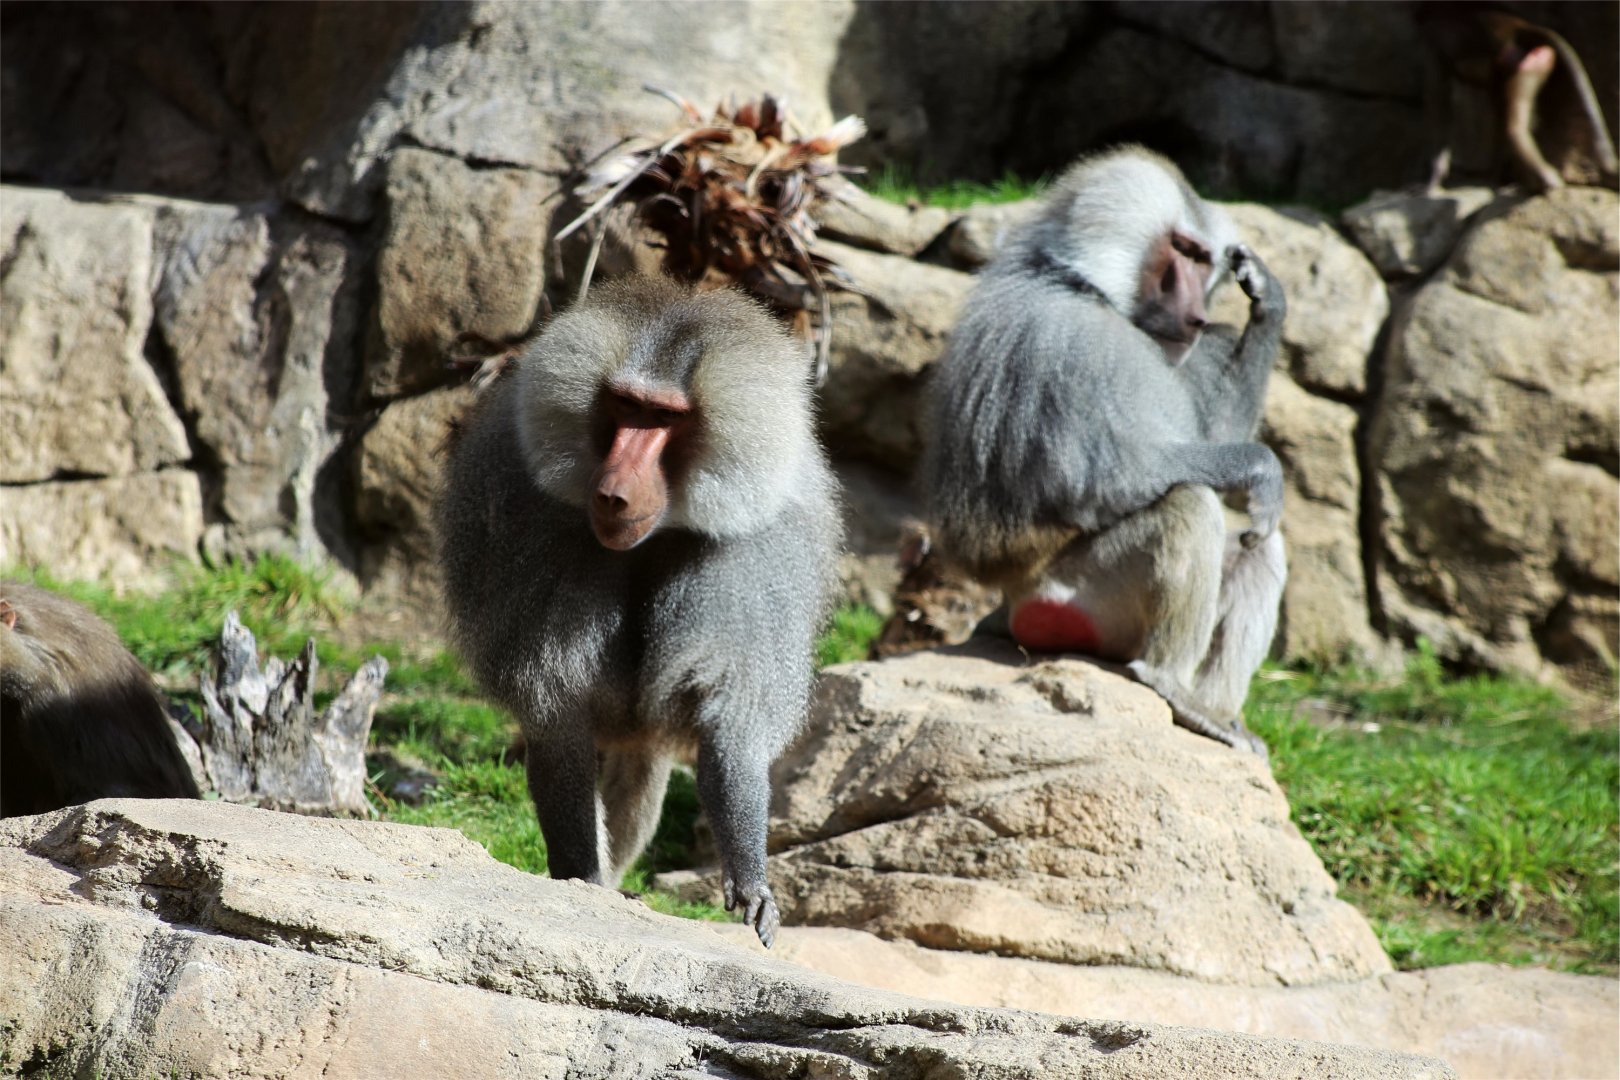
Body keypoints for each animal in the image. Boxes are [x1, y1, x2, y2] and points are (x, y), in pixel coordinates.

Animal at [435, 277, 839, 946]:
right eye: (624, 406)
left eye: (667, 418)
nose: (612, 494)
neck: (663, 528)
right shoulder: (538, 529)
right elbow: (558, 716)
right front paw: (582, 884)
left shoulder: (752, 556)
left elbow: (728, 720)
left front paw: (750, 881)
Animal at [923, 146, 1287, 756]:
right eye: (1182, 251)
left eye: (1204, 261)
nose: (1198, 318)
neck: (1078, 282)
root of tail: (1005, 609)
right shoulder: (1077, 345)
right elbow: (1108, 480)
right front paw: (1261, 466)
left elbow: (1208, 437)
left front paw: (1266, 297)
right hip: (1078, 593)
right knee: (1187, 505)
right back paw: (1172, 686)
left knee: (1259, 545)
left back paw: (1216, 715)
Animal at [1417, 4, 1619, 193]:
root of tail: (1521, 28)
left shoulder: (1430, 47)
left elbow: (1438, 102)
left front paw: (1432, 182)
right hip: (1533, 64)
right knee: (1506, 112)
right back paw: (1505, 178)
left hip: (1523, 64)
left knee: (1513, 125)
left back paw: (1542, 178)